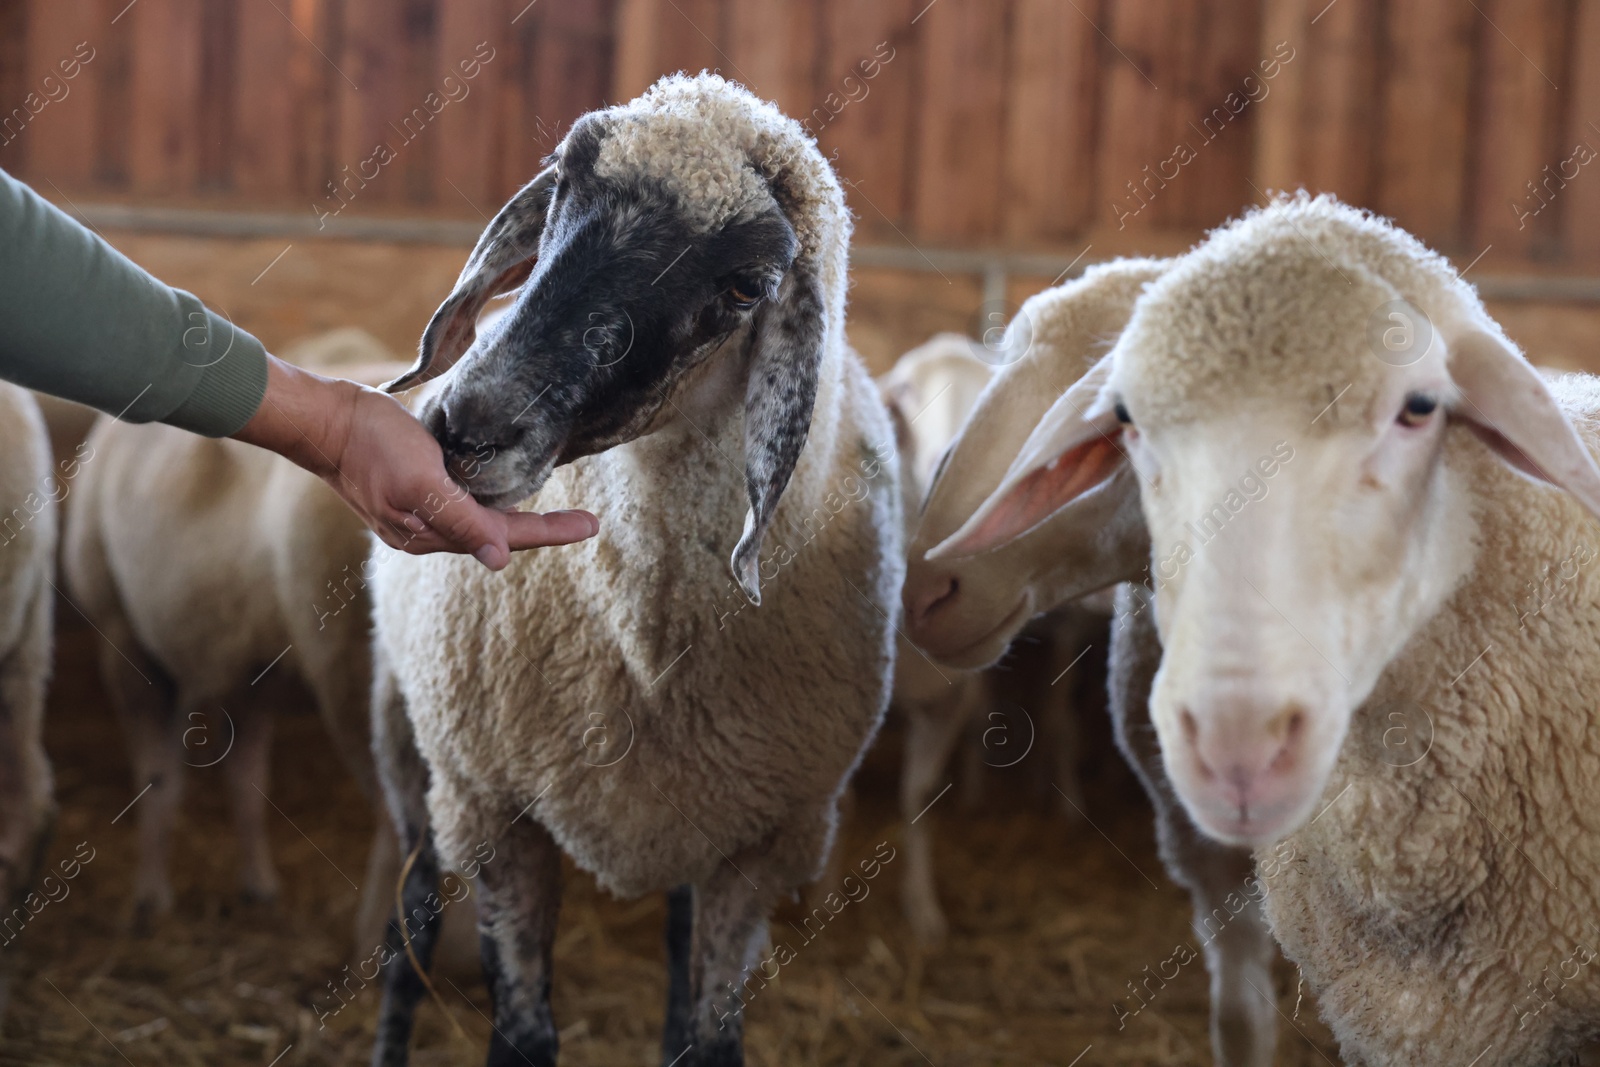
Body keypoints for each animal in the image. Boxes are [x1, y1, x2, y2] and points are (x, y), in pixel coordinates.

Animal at [366, 70, 908, 1062]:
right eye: (557, 194)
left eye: (744, 287)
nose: (466, 430)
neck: (647, 642)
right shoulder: (499, 811)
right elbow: (522, 1036)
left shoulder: (757, 844)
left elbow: (710, 1036)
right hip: (415, 747)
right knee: (409, 922)